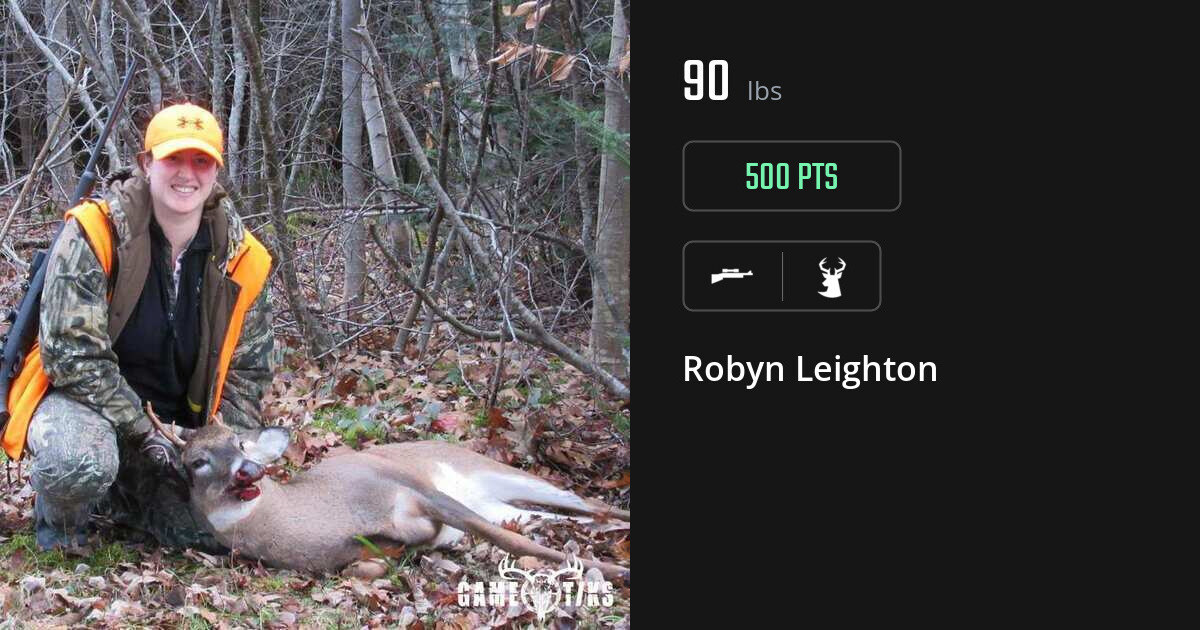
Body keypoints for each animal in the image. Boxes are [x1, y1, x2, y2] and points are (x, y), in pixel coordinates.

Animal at [145, 406, 630, 580]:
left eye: (240, 443)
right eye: (197, 461)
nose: (251, 470)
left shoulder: (409, 488)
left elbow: (510, 543)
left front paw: (611, 571)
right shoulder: (358, 554)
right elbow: (375, 562)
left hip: (493, 472)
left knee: (591, 504)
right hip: (504, 504)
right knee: (576, 516)